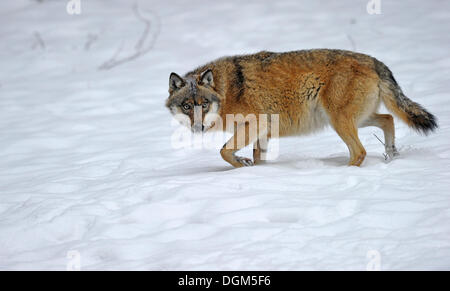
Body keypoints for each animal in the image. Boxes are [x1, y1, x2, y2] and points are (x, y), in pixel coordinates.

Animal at [165, 50, 436, 168]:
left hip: (339, 122)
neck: (227, 90)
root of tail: (375, 61)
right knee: (388, 119)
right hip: (354, 119)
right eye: (187, 106)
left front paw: (241, 164)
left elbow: (223, 151)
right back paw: (391, 157)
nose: (198, 127)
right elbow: (255, 157)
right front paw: (253, 168)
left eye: (203, 104)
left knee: (360, 151)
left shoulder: (256, 123)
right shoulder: (262, 132)